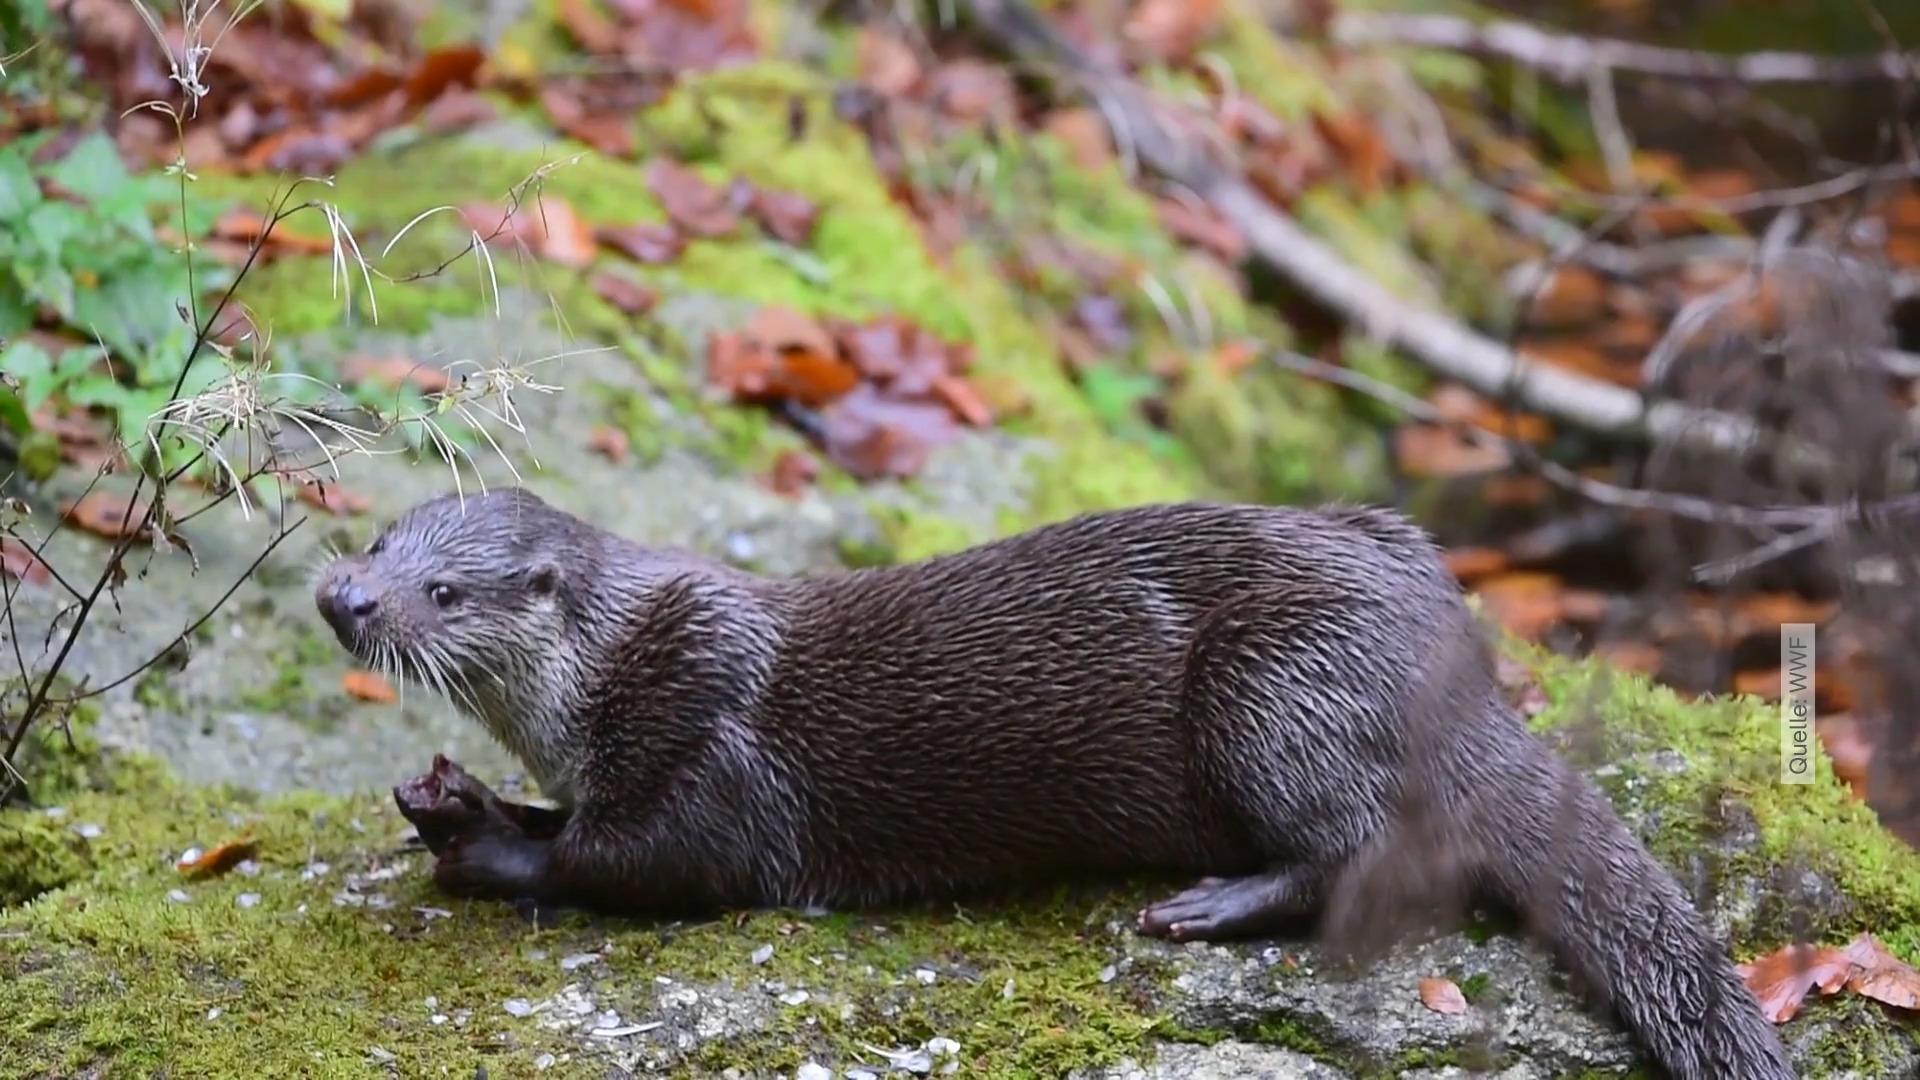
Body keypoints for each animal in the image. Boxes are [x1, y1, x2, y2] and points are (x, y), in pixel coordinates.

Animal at [318, 488, 1797, 1076]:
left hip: (1273, 680)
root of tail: (1450, 657)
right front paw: (453, 798)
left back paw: (1203, 906)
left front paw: (482, 840)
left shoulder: (713, 745)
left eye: (444, 593)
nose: (343, 596)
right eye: (380, 537)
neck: (610, 680)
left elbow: (639, 860)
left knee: (1366, 850)